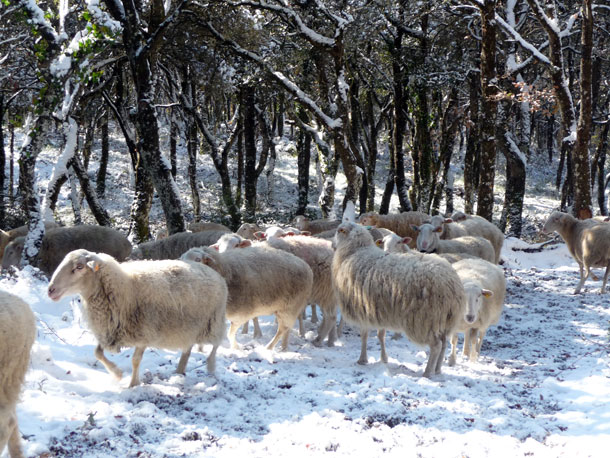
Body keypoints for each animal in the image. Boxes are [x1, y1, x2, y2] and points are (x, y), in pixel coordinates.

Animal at [45, 250, 226, 386]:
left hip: (213, 321)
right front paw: (117, 373)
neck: (123, 287)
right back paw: (179, 371)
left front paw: (132, 384)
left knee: (217, 343)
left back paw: (210, 365)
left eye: (79, 267)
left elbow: (135, 360)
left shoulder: (144, 333)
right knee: (187, 349)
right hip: (189, 328)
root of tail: (212, 271)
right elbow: (97, 353)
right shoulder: (109, 328)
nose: (50, 290)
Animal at [179, 247, 314, 350]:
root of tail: (306, 267)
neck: (225, 271)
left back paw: (269, 347)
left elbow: (230, 333)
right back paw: (284, 348)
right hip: (284, 308)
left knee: (283, 329)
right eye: (182, 259)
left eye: (198, 259)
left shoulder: (240, 315)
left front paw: (236, 348)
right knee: (287, 329)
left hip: (291, 306)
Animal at [330, 221, 464, 376]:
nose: (332, 245)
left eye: (339, 230)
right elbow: (380, 334)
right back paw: (437, 370)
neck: (355, 251)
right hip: (444, 320)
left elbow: (364, 335)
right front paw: (384, 359)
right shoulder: (377, 309)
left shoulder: (362, 307)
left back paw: (427, 373)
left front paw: (362, 359)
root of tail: (452, 283)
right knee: (443, 344)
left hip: (424, 320)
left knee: (436, 345)